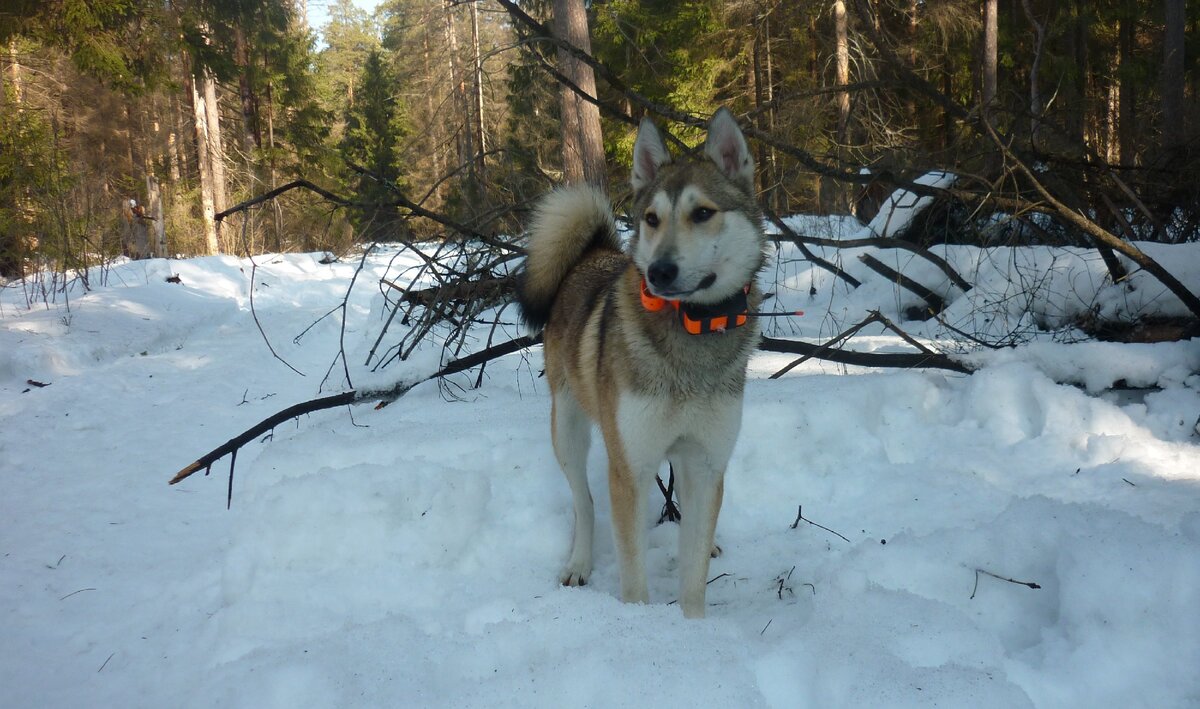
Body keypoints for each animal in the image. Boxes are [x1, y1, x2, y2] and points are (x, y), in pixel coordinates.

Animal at [518, 107, 763, 619]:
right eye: (652, 219)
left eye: (703, 213)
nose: (660, 271)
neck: (690, 334)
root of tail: (593, 254)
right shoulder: (628, 465)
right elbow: (632, 572)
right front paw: (638, 624)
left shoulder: (706, 462)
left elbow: (694, 571)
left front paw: (693, 624)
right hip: (568, 428)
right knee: (585, 502)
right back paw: (579, 562)